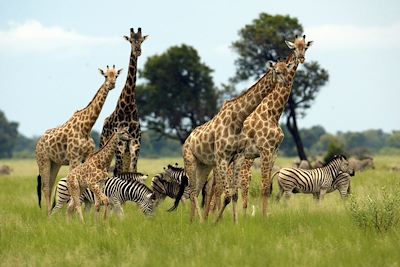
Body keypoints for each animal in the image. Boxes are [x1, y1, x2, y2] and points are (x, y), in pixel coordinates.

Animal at [36, 66, 123, 217]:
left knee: (51, 185)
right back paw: (48, 215)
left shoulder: (87, 156)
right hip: (43, 160)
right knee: (46, 187)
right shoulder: (74, 157)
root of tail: (37, 144)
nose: (112, 84)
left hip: (55, 163)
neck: (86, 127)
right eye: (105, 76)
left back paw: (50, 214)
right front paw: (75, 214)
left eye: (116, 75)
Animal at [100, 27, 148, 175]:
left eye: (141, 40)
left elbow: (133, 171)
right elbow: (119, 172)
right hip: (106, 146)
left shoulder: (135, 144)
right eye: (131, 40)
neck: (128, 105)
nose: (138, 50)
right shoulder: (120, 145)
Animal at [181, 61, 288, 224]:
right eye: (277, 71)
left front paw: (235, 223)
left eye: (286, 69)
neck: (237, 119)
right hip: (190, 161)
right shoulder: (222, 158)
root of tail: (187, 140)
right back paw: (200, 221)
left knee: (197, 191)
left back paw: (193, 221)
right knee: (193, 192)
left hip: (204, 165)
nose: (287, 82)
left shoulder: (238, 157)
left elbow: (234, 196)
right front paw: (215, 222)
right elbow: (227, 196)